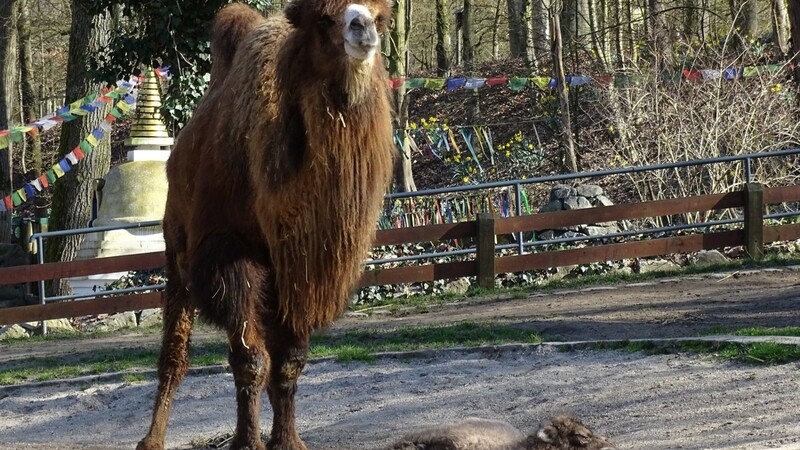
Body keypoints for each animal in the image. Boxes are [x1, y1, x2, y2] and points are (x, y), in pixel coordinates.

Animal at [138, 1, 394, 448]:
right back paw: (151, 439)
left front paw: (288, 441)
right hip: (177, 250)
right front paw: (247, 441)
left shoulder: (301, 268)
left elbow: (289, 362)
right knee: (175, 351)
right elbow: (248, 358)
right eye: (323, 19)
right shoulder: (227, 251)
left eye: (380, 17)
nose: (363, 29)